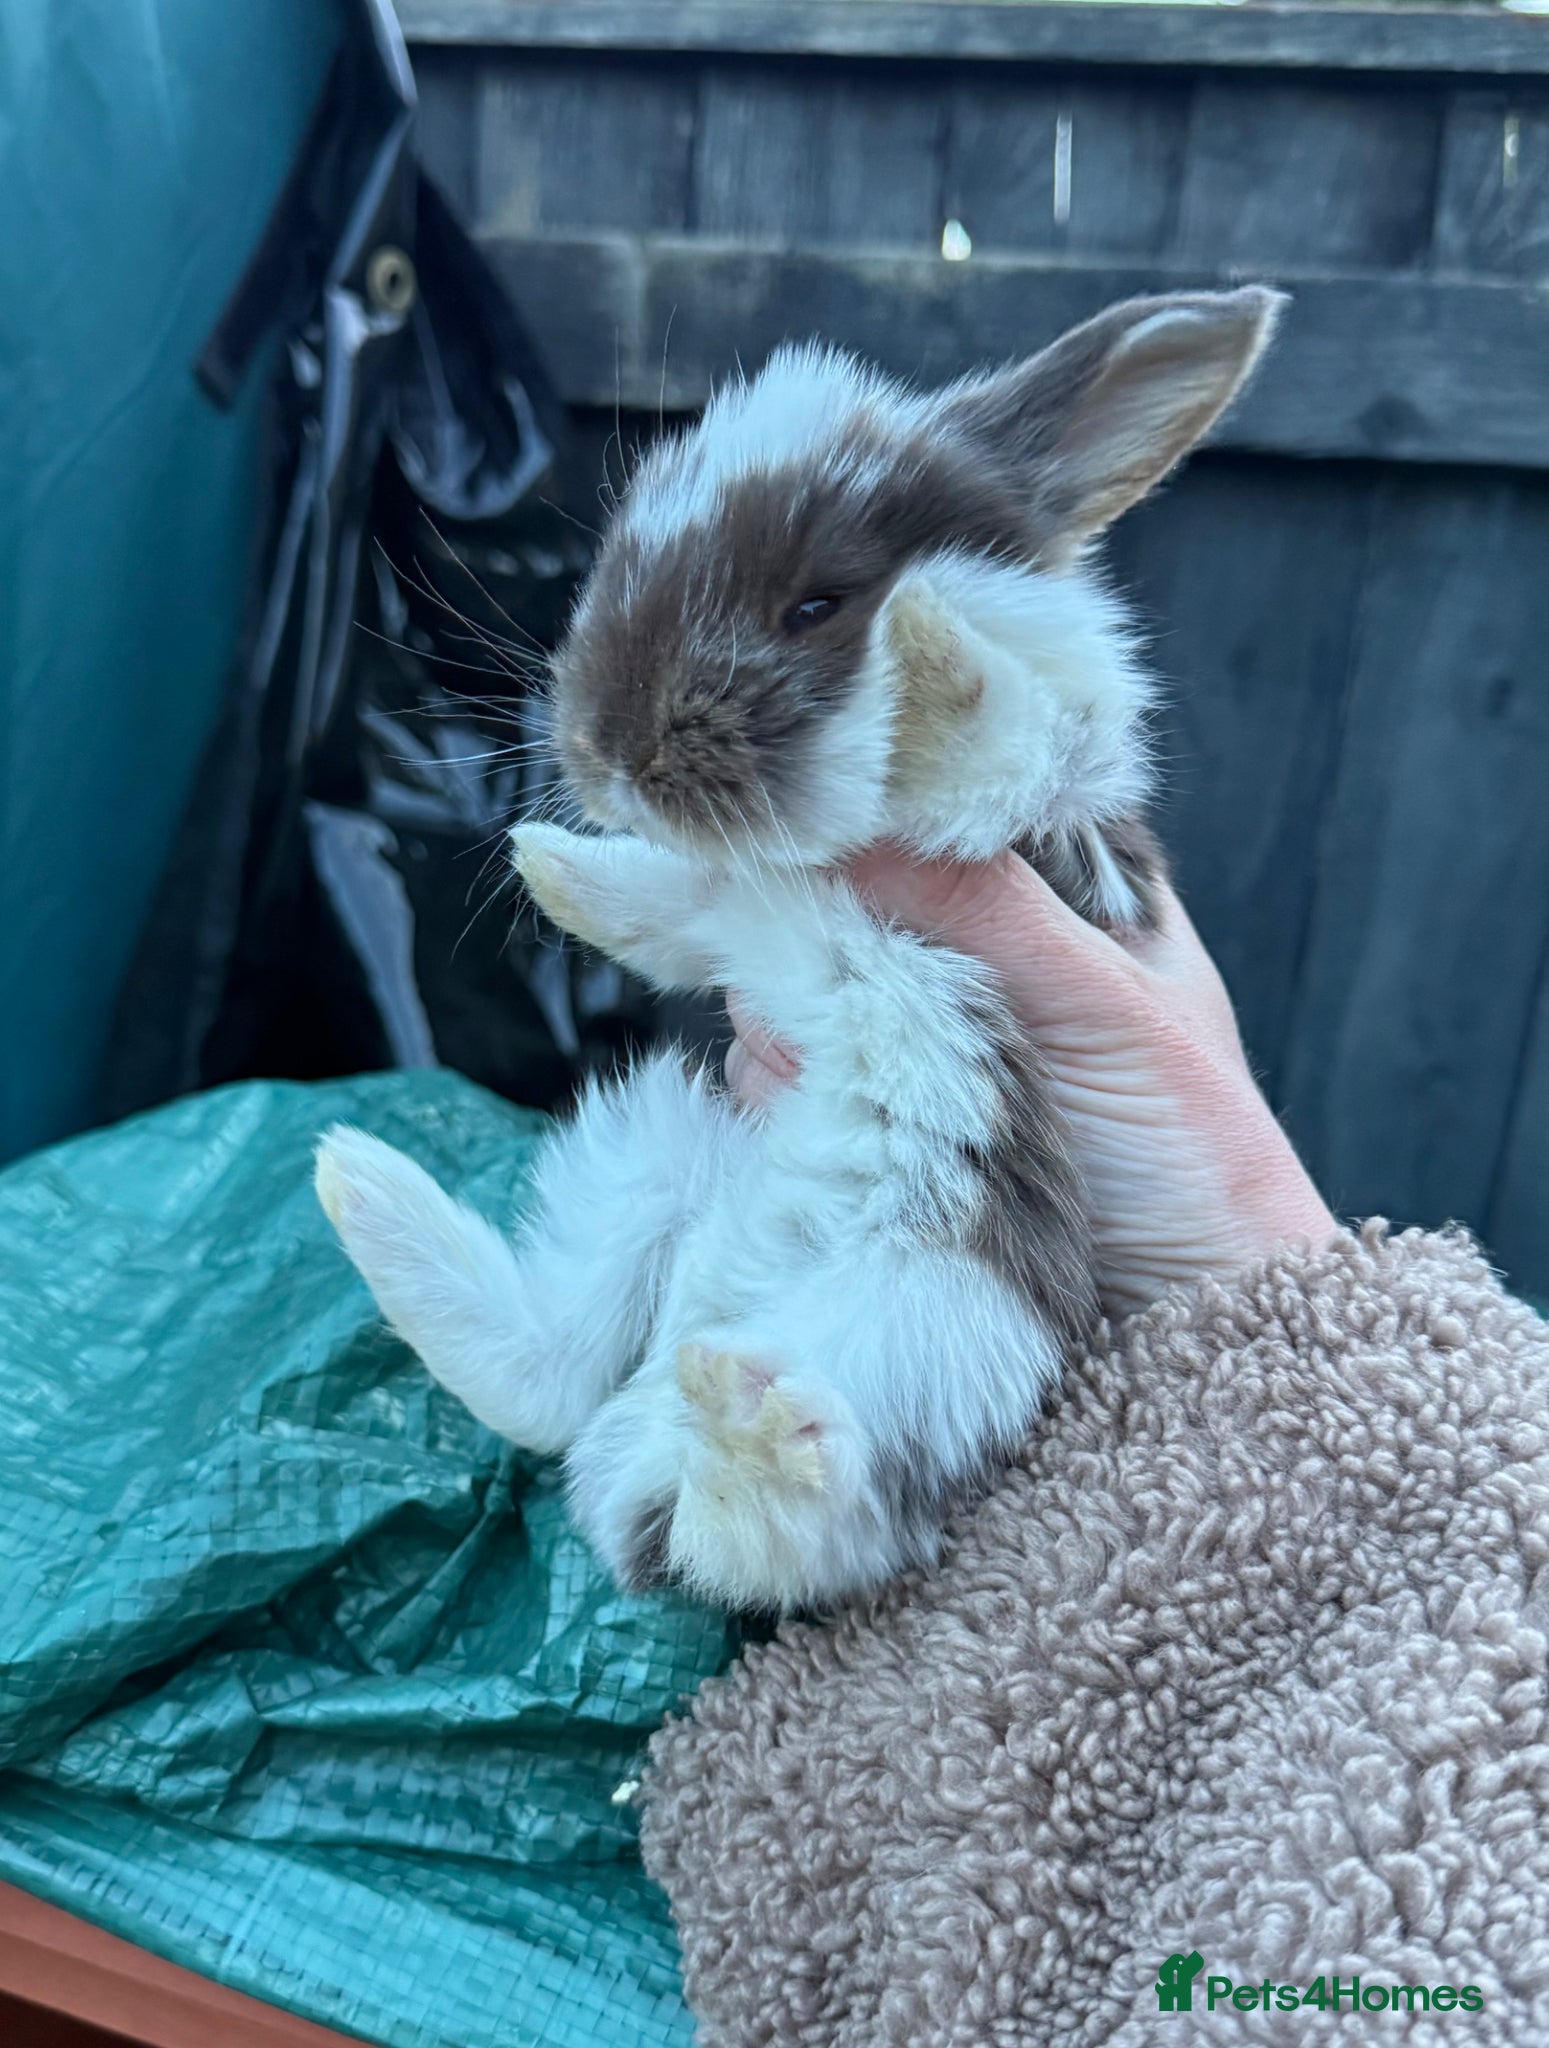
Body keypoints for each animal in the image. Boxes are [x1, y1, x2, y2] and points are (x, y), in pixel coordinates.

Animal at [315, 285, 1283, 1611]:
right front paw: (552, 863)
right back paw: (360, 1180)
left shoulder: (1044, 814)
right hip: (652, 1154)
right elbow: (687, 905)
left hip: (944, 1318)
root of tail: (651, 1467)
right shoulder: (734, 905)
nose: (601, 751)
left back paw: (751, 1418)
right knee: (552, 1379)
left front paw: (924, 632)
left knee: (803, 1512)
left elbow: (986, 724)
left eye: (819, 603)